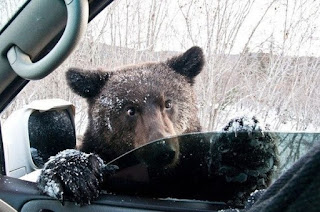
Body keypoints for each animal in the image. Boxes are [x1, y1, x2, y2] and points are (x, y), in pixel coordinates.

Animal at [37, 46, 278, 207]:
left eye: (168, 103)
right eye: (130, 109)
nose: (161, 150)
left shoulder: (194, 177)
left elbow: (235, 187)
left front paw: (246, 143)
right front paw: (73, 172)